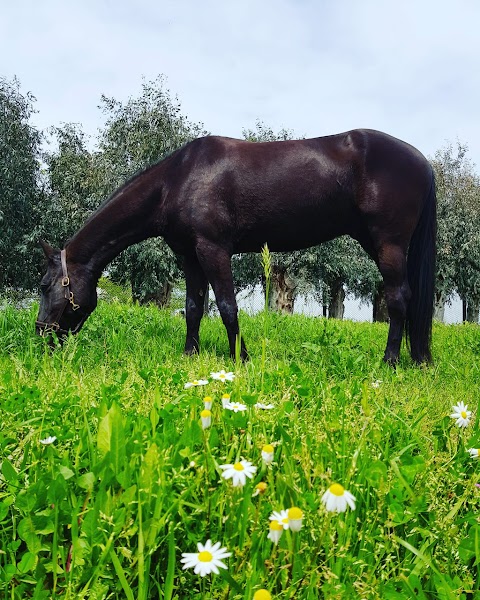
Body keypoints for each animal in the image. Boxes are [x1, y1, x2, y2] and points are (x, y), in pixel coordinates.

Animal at [35, 129, 436, 364]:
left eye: (44, 286)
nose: (41, 336)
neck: (178, 180)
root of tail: (421, 160)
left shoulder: (213, 249)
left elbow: (227, 306)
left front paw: (240, 357)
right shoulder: (189, 255)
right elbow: (193, 306)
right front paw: (191, 354)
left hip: (388, 244)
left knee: (398, 298)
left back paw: (390, 361)